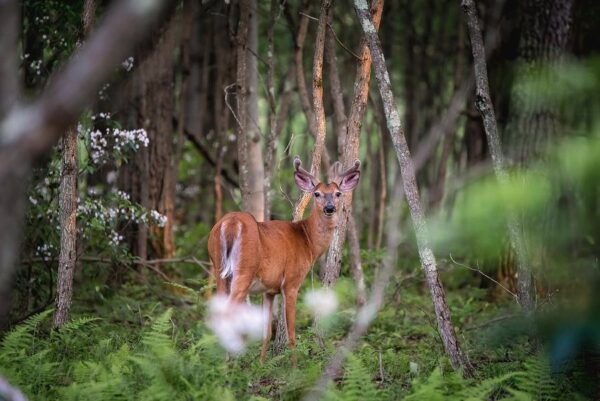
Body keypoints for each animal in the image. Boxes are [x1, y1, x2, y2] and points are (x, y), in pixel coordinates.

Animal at [207, 155, 360, 360]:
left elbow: (266, 333)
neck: (308, 241)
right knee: (226, 315)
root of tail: (231, 223)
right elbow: (292, 334)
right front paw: (294, 366)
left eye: (337, 193)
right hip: (244, 271)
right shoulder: (292, 283)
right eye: (317, 194)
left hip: (218, 268)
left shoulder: (269, 290)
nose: (329, 208)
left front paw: (262, 363)